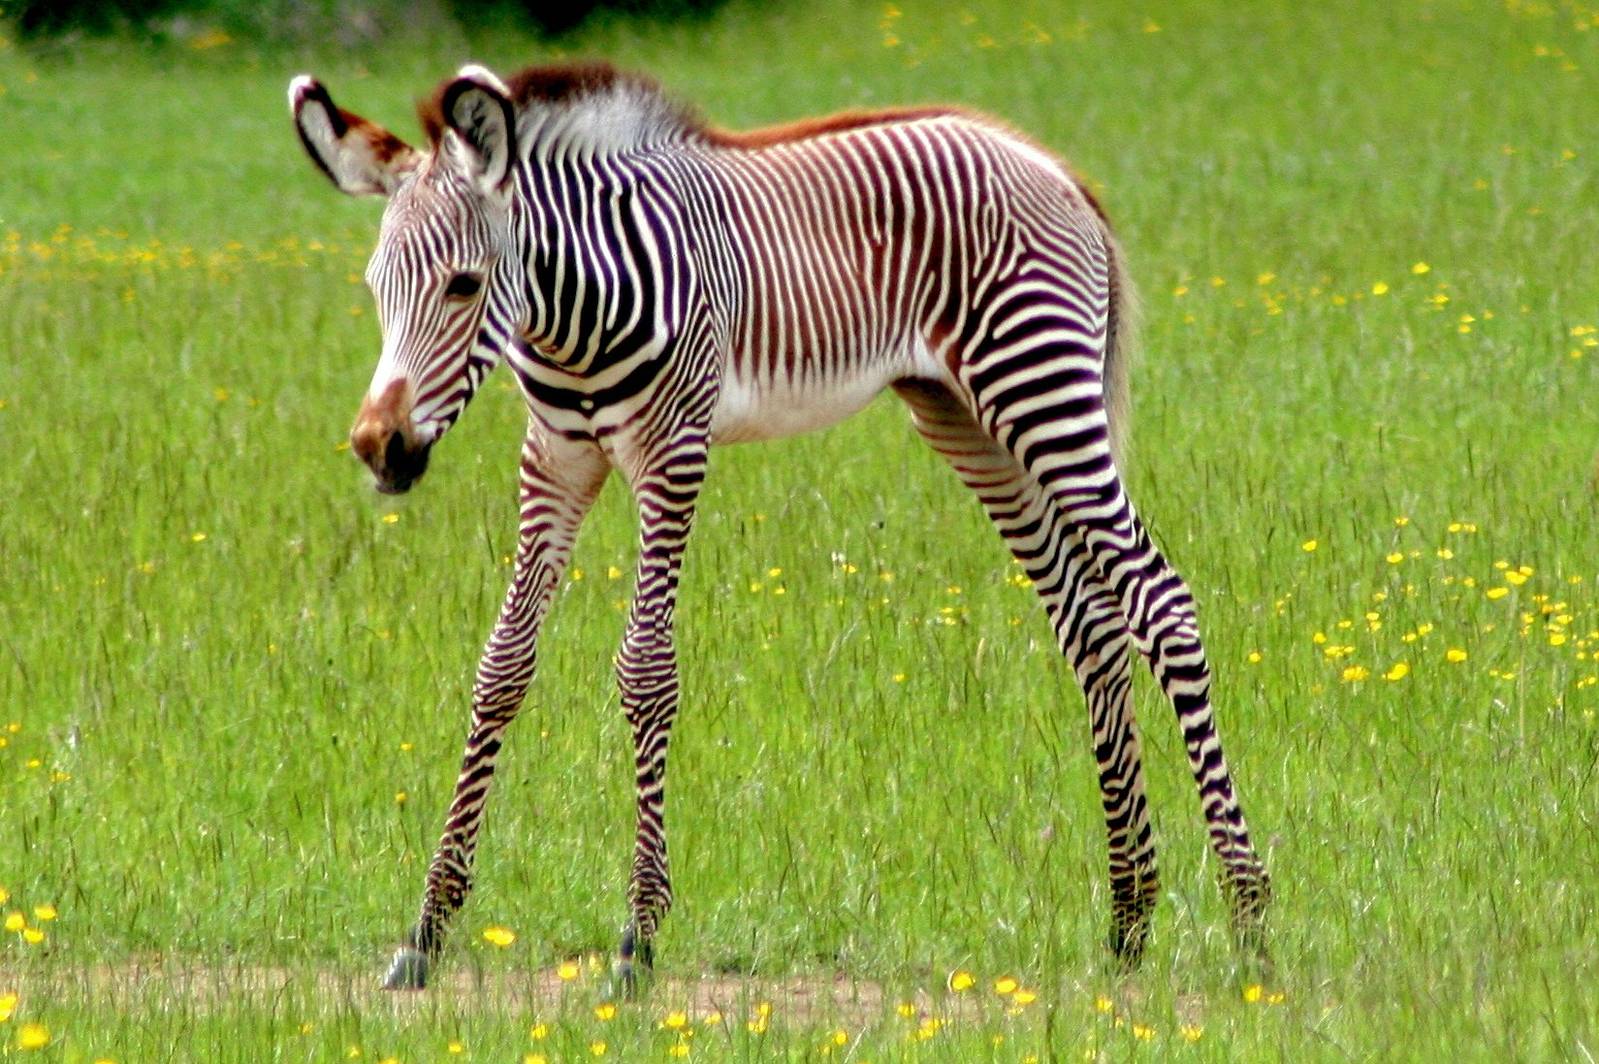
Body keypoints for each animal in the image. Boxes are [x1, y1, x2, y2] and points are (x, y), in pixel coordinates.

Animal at [288, 60, 1270, 991]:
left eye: (462, 286)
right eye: (375, 287)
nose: (378, 448)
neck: (576, 312)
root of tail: (1048, 163)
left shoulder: (672, 449)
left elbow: (645, 672)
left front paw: (637, 940)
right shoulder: (557, 458)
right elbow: (502, 667)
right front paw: (425, 933)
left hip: (1039, 388)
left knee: (1160, 601)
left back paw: (1250, 925)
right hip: (969, 419)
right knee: (1092, 626)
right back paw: (1128, 923)